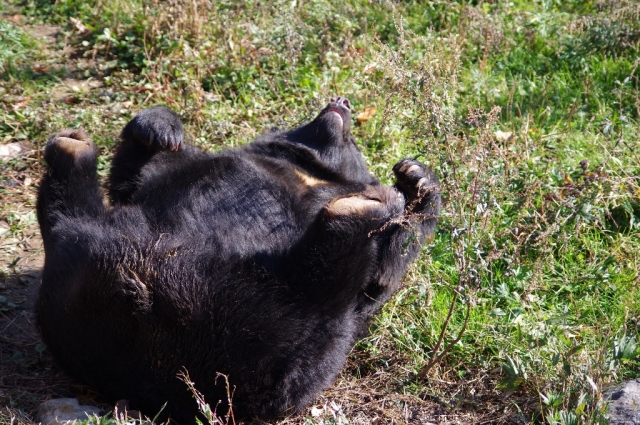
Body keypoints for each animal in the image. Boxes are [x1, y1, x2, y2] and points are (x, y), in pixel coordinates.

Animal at [35, 96, 440, 420]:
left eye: (353, 141)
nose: (340, 101)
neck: (313, 175)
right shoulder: (215, 165)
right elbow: (139, 170)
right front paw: (160, 129)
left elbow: (384, 273)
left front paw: (415, 178)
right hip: (83, 260)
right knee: (64, 212)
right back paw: (73, 147)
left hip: (286, 345)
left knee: (323, 290)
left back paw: (363, 209)